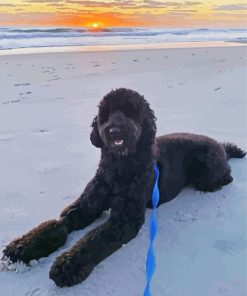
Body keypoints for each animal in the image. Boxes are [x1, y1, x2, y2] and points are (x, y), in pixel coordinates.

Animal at [2, 88, 246, 286]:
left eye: (131, 111)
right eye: (106, 113)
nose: (114, 131)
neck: (118, 170)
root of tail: (220, 146)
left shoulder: (125, 219)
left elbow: (94, 239)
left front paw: (68, 265)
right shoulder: (83, 207)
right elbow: (56, 225)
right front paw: (23, 246)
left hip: (207, 170)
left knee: (226, 177)